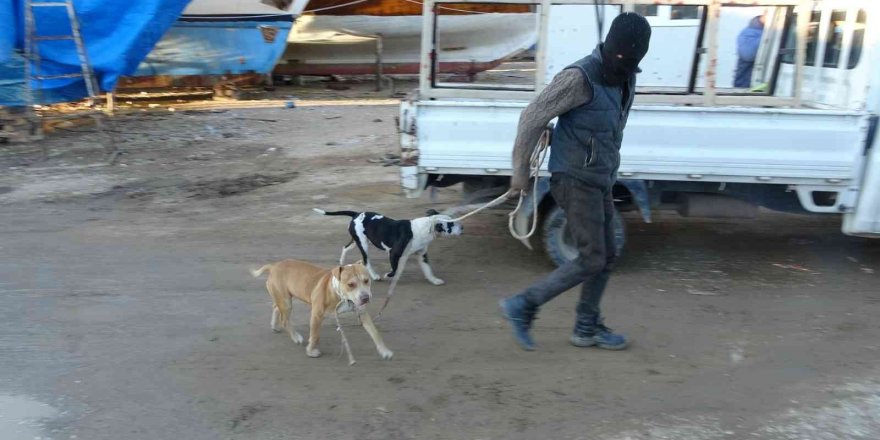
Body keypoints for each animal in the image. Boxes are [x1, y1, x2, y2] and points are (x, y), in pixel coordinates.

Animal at [253, 260, 394, 360]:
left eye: (366, 280)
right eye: (351, 284)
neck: (340, 294)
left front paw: (384, 351)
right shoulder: (317, 315)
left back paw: (274, 325)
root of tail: (273, 266)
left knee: (276, 308)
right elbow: (315, 335)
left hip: (283, 298)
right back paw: (296, 337)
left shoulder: (363, 314)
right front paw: (311, 351)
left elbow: (375, 333)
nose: (365, 298)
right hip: (286, 302)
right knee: (285, 319)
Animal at [312, 209, 464, 286]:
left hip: (357, 241)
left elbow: (428, 269)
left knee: (345, 247)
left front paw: (434, 280)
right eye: (451, 224)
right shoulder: (394, 253)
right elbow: (394, 269)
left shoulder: (422, 255)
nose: (462, 227)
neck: (426, 227)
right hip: (363, 244)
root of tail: (356, 214)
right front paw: (388, 275)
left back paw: (341, 262)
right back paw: (375, 276)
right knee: (365, 261)